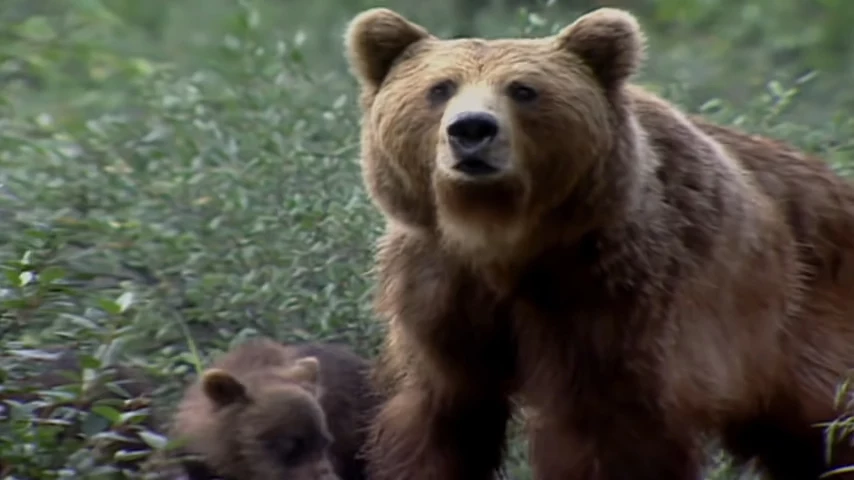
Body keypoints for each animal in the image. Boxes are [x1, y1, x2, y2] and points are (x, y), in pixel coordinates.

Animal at [343, 6, 854, 480]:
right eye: (440, 88)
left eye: (523, 89)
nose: (471, 129)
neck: (500, 240)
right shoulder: (441, 294)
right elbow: (441, 416)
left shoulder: (610, 296)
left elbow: (607, 432)